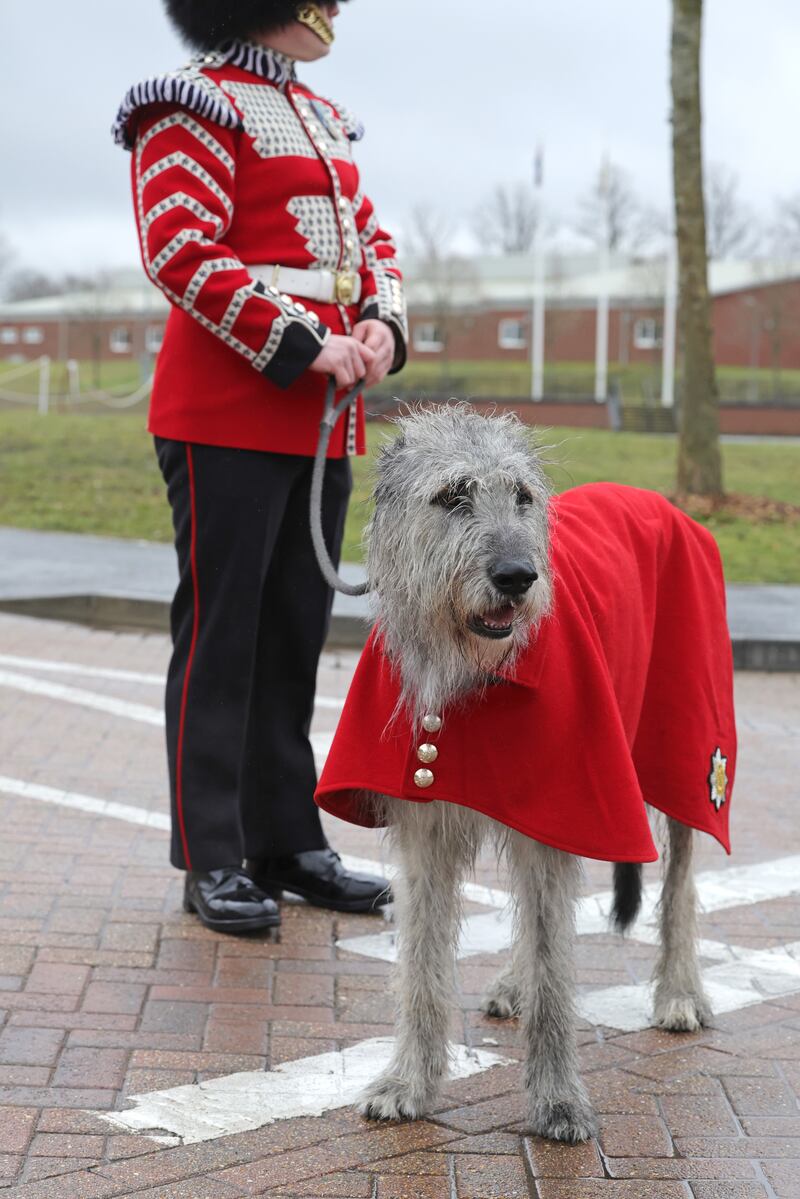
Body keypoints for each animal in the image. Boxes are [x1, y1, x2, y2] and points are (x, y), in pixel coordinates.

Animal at [359, 407, 710, 1146]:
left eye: (522, 496)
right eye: (453, 495)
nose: (518, 575)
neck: (474, 677)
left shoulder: (563, 804)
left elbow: (557, 971)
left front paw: (557, 1100)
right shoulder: (429, 826)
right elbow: (422, 964)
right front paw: (408, 1083)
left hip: (689, 751)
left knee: (682, 883)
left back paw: (679, 991)